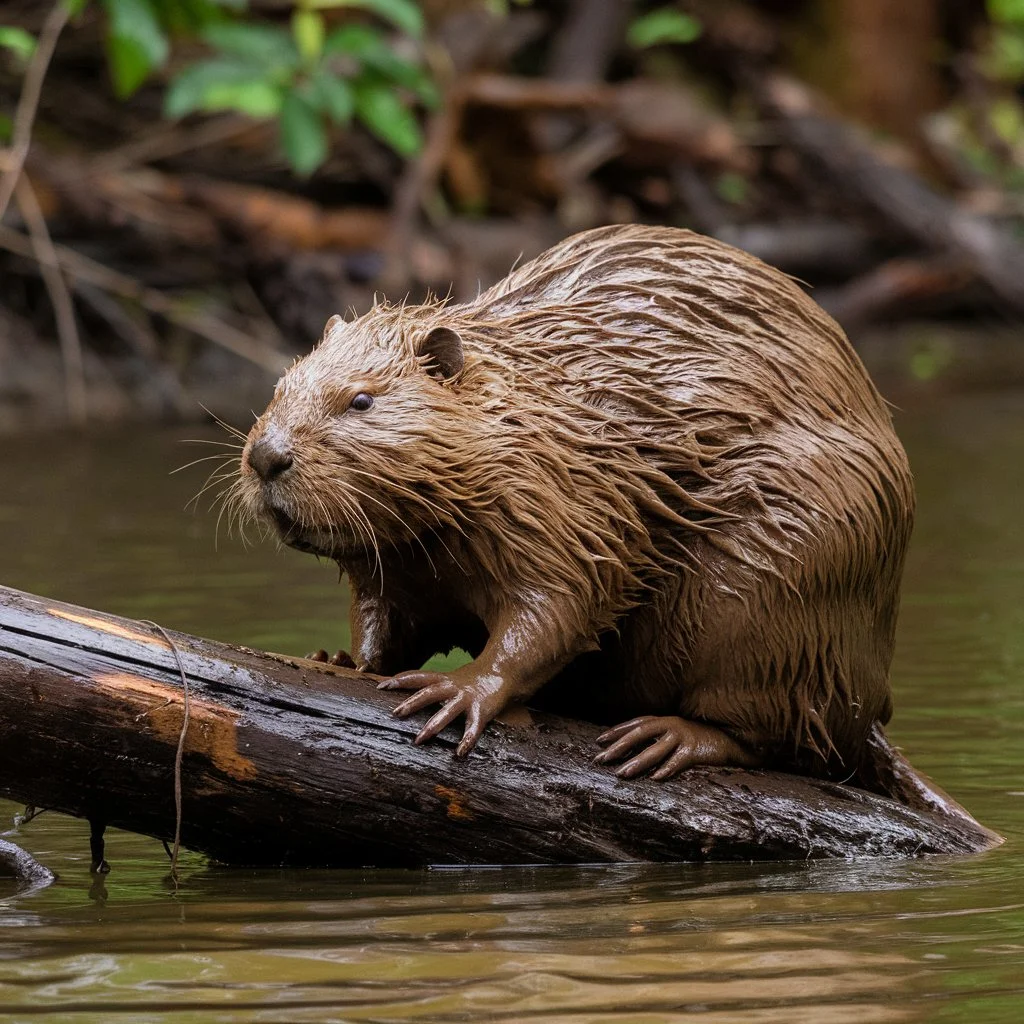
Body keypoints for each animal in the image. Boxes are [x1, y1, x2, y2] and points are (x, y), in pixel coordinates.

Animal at [235, 222, 937, 798]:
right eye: (279, 385)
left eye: (361, 400)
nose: (267, 458)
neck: (538, 410)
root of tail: (873, 710)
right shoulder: (407, 558)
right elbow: (382, 611)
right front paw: (338, 659)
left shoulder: (564, 499)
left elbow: (563, 601)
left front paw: (458, 690)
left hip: (771, 593)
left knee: (777, 734)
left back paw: (664, 738)